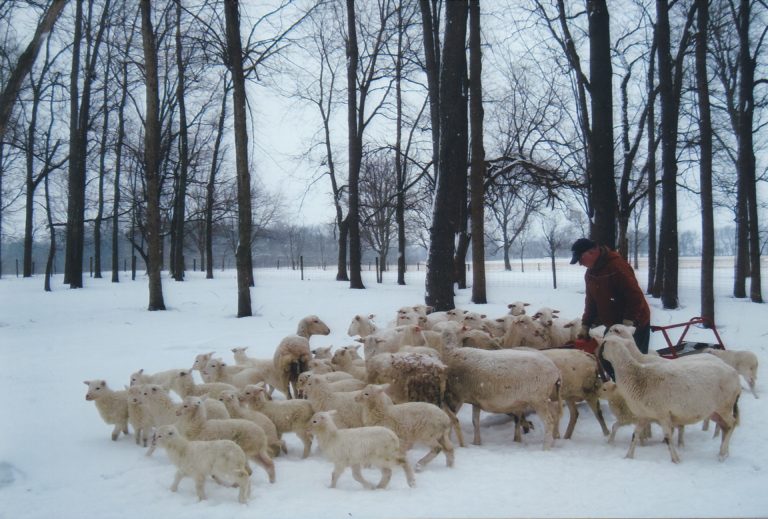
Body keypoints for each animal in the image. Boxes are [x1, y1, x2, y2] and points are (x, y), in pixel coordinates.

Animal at [596, 334, 740, 464]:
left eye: (604, 342)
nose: (597, 353)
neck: (636, 377)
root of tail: (735, 375)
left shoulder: (663, 415)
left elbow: (668, 437)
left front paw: (676, 459)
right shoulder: (644, 415)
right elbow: (635, 435)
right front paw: (628, 456)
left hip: (724, 406)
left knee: (732, 424)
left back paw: (722, 454)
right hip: (714, 412)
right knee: (725, 427)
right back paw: (724, 453)